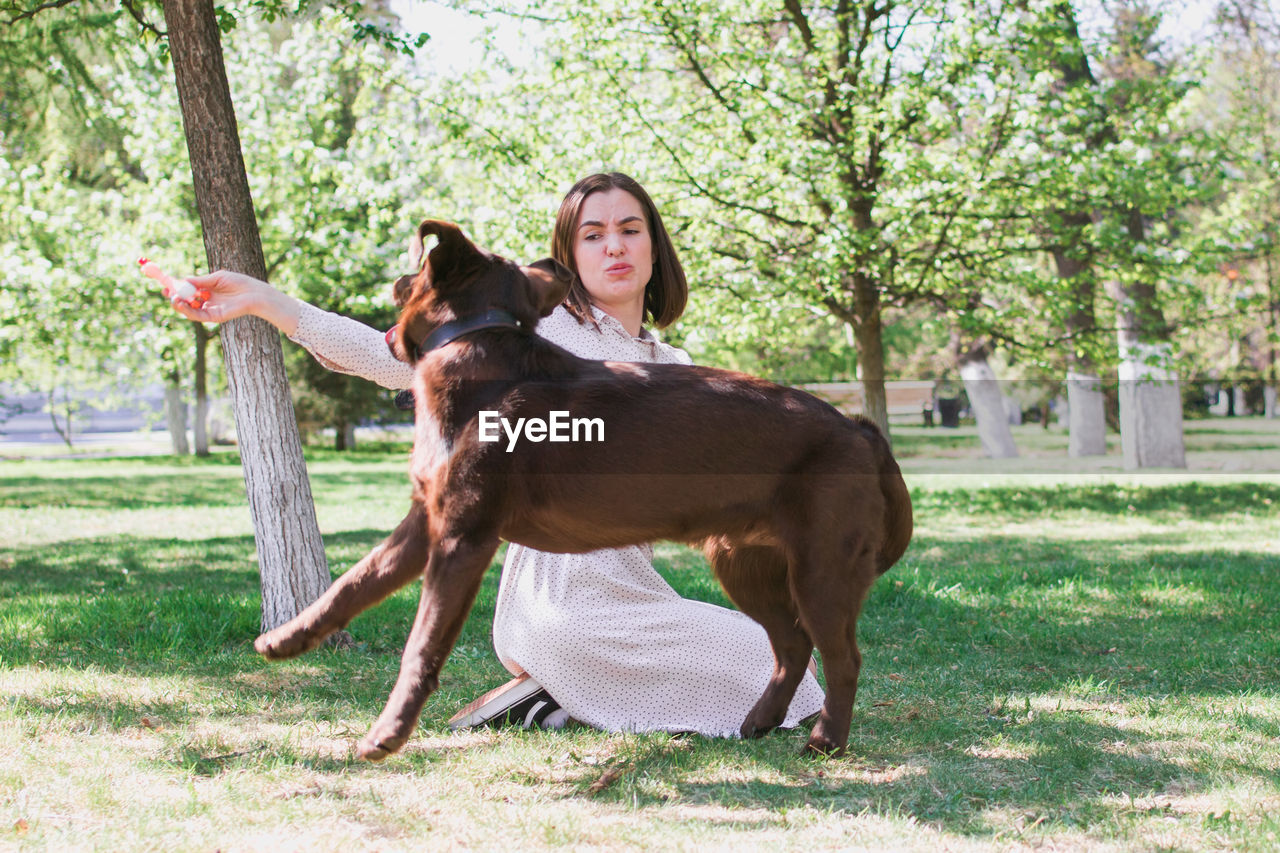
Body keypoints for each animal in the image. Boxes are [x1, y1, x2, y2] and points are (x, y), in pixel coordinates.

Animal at [252, 219, 911, 758]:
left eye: (409, 275)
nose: (395, 276)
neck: (475, 348)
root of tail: (858, 427)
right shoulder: (426, 524)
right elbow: (352, 583)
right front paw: (287, 638)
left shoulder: (464, 537)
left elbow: (423, 644)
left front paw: (387, 734)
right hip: (743, 562)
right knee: (791, 645)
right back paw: (758, 723)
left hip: (820, 568)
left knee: (840, 656)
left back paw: (826, 742)